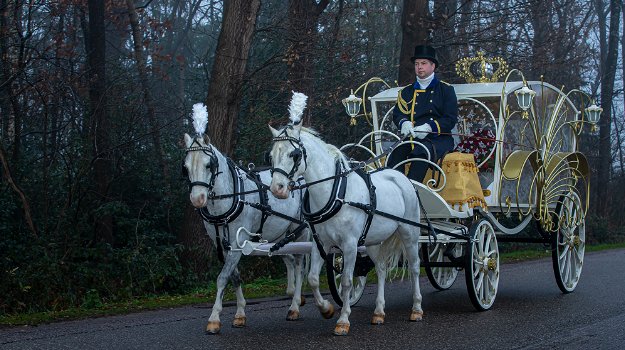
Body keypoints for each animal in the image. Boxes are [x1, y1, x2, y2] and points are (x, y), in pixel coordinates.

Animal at [183, 129, 308, 334]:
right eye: (185, 167)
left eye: (209, 165)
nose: (197, 198)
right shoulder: (223, 245)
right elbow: (235, 277)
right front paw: (240, 314)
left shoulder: (236, 243)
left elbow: (222, 278)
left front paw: (214, 318)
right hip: (280, 235)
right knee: (289, 259)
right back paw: (293, 293)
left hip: (301, 231)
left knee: (299, 265)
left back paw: (295, 305)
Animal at [268, 119, 424, 334]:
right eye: (271, 156)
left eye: (294, 154)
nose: (277, 189)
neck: (336, 194)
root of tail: (401, 176)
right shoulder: (320, 244)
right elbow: (313, 279)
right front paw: (326, 309)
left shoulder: (350, 246)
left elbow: (347, 281)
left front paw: (343, 321)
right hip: (373, 241)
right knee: (381, 269)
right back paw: (379, 312)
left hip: (409, 233)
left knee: (415, 266)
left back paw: (416, 309)